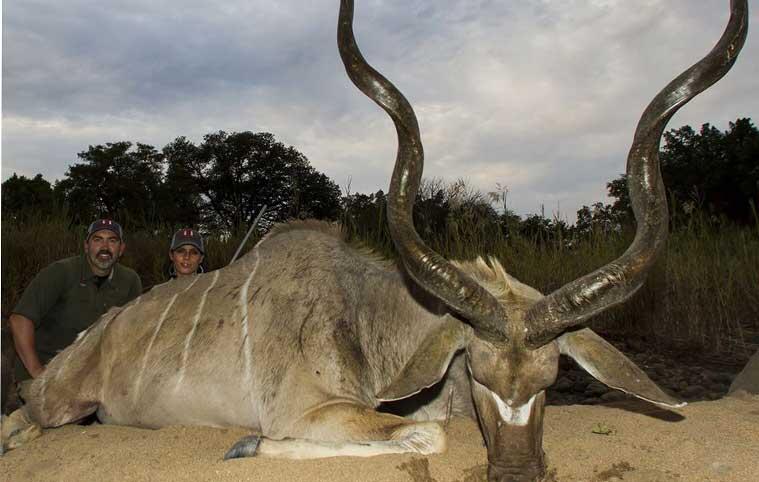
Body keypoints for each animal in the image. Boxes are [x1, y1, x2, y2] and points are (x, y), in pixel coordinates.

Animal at [1, 0, 748, 482]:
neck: (367, 315)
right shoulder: (311, 410)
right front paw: (245, 447)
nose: (516, 473)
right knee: (22, 421)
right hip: (55, 399)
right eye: (476, 371)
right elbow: (426, 432)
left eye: (552, 377)